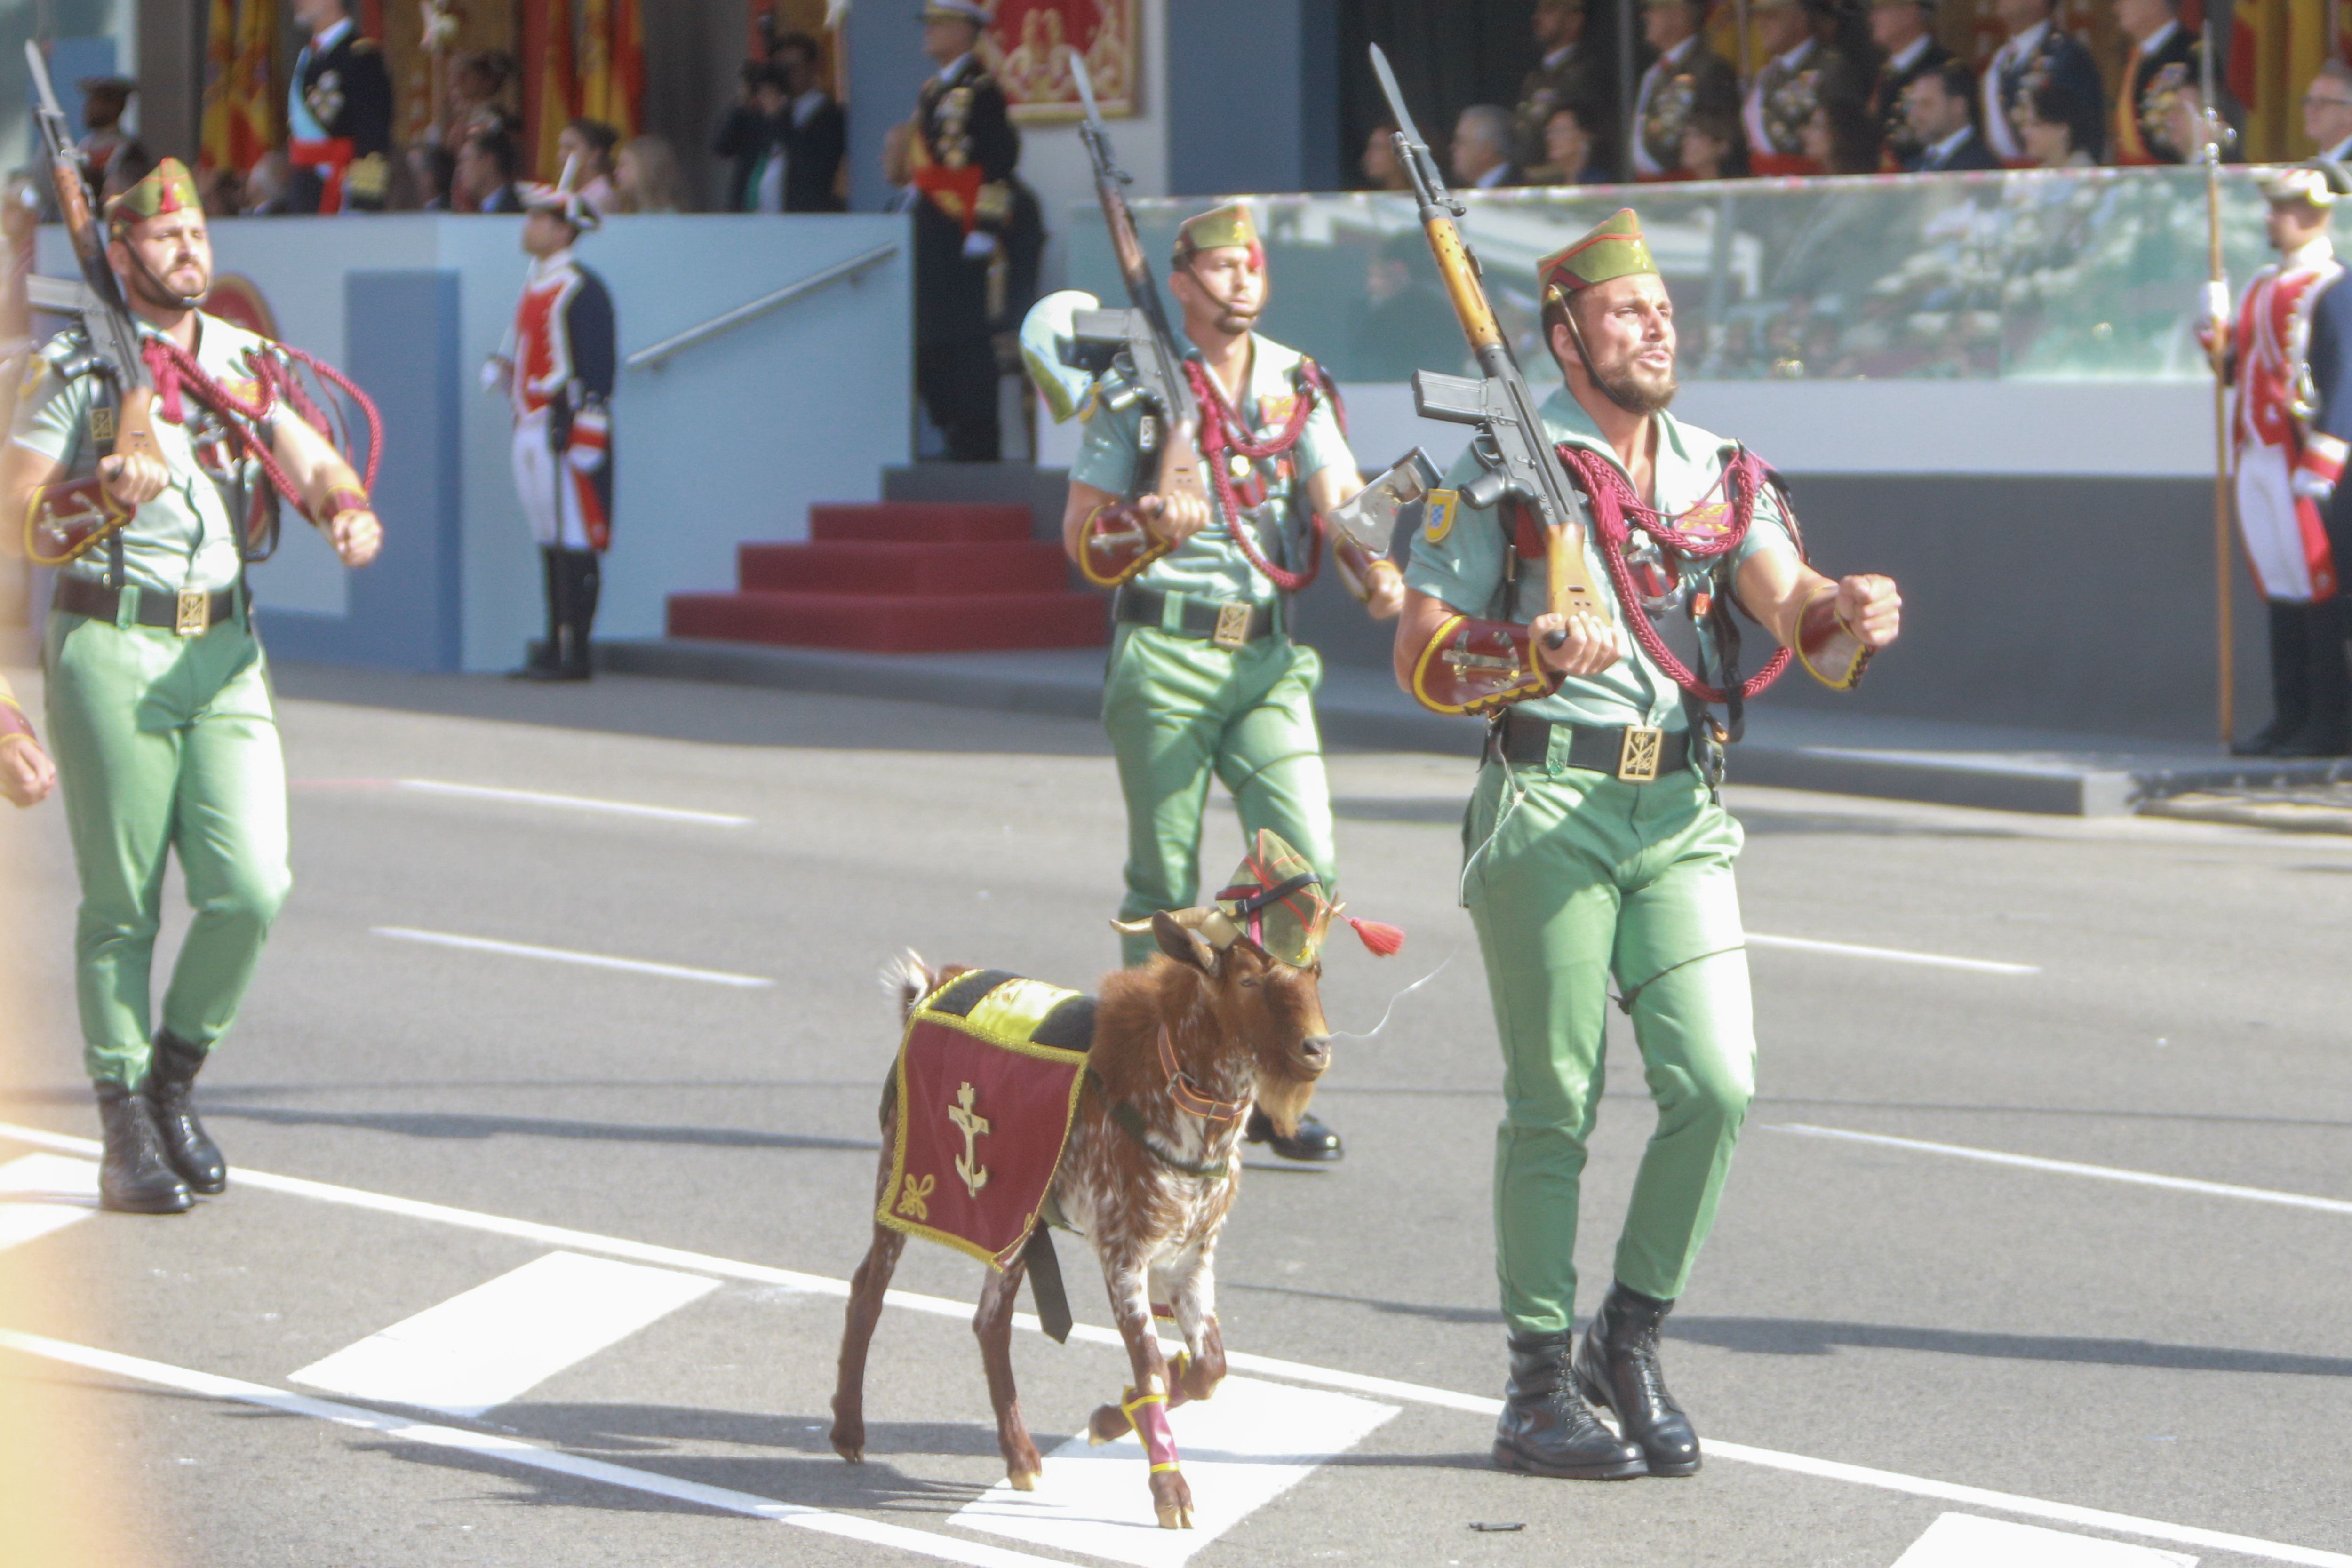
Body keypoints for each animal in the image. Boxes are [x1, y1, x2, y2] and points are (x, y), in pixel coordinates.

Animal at [837, 907, 1336, 1533]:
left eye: (1315, 976)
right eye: (1246, 980)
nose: (1316, 1047)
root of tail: (924, 991)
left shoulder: (1191, 1257)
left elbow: (1209, 1370)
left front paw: (1108, 1418)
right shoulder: (1125, 1252)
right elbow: (1151, 1367)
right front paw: (1170, 1493)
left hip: (1015, 1220)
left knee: (990, 1323)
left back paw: (1022, 1457)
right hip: (903, 1180)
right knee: (868, 1289)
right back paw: (849, 1432)